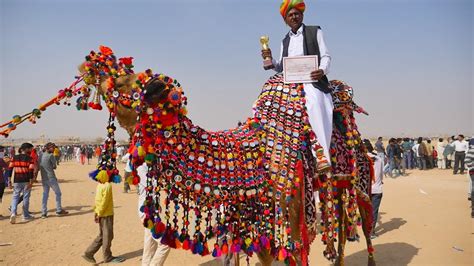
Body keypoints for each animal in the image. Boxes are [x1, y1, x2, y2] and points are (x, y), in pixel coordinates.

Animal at [1, 46, 376, 264]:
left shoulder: (291, 212)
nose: (90, 62)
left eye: (125, 80)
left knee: (356, 228)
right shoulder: (260, 224)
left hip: (349, 184)